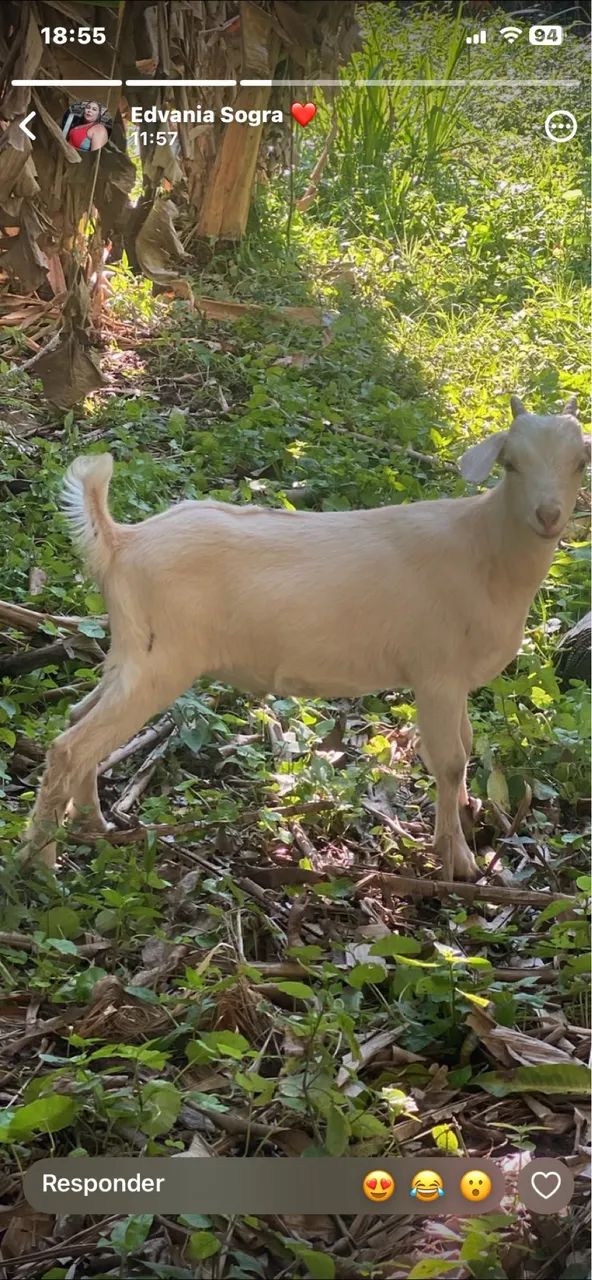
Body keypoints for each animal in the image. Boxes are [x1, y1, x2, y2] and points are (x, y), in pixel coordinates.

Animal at [22, 396, 589, 878]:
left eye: (580, 461)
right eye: (511, 463)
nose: (548, 516)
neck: (486, 552)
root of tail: (122, 541)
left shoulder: (456, 682)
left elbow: (467, 749)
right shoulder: (437, 675)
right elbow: (449, 762)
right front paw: (458, 863)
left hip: (130, 650)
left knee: (77, 717)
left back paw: (92, 823)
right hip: (162, 660)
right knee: (70, 746)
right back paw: (42, 865)